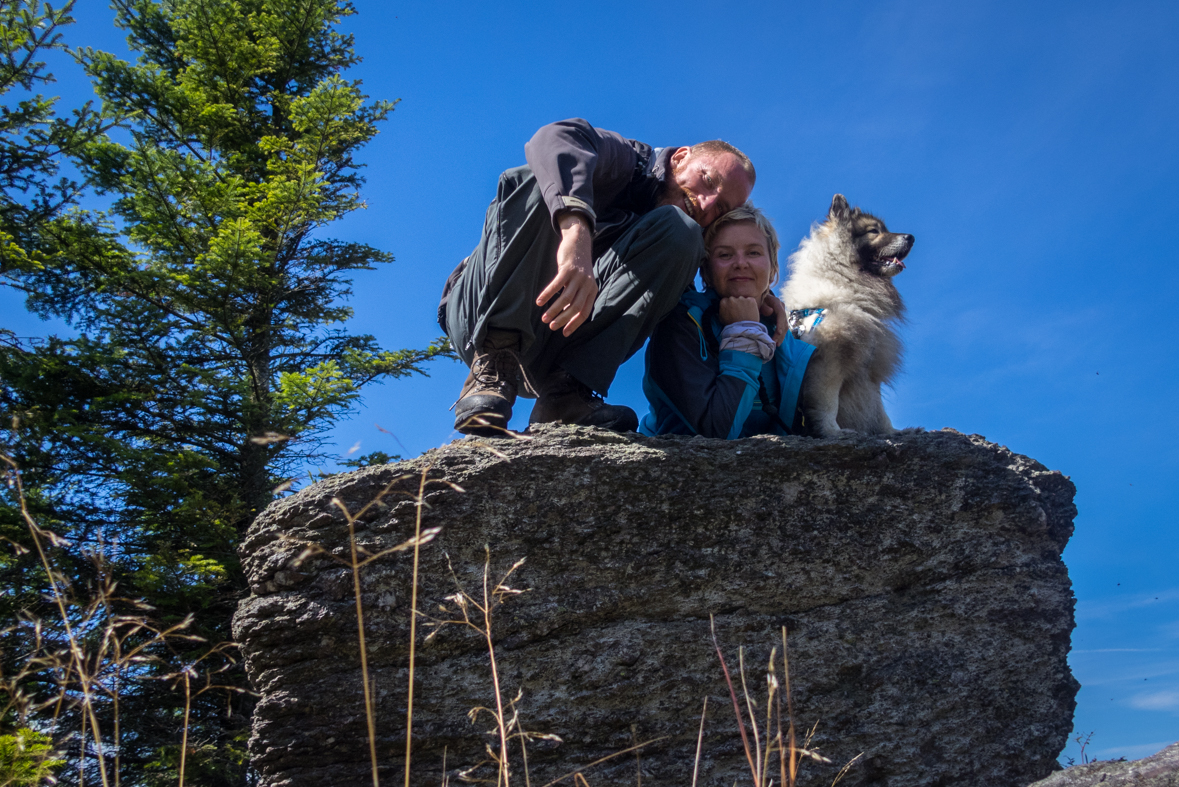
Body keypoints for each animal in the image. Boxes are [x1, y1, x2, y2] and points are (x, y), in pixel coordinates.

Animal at [778, 190, 914, 435]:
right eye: (874, 231)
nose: (911, 237)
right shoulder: (827, 361)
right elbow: (827, 404)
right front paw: (833, 432)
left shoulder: (868, 371)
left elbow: (877, 411)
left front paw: (893, 432)